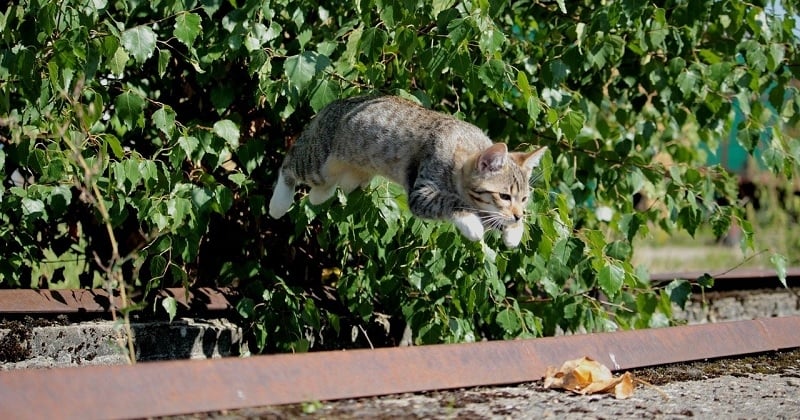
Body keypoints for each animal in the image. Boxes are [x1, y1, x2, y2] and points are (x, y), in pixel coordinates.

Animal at [270, 95, 552, 246]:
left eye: (524, 198)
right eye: (504, 196)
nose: (517, 215)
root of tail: (331, 105)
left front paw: (514, 231)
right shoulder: (422, 191)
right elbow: (452, 202)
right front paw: (472, 223)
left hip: (352, 175)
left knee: (327, 187)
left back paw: (318, 196)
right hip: (318, 162)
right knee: (290, 162)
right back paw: (278, 204)